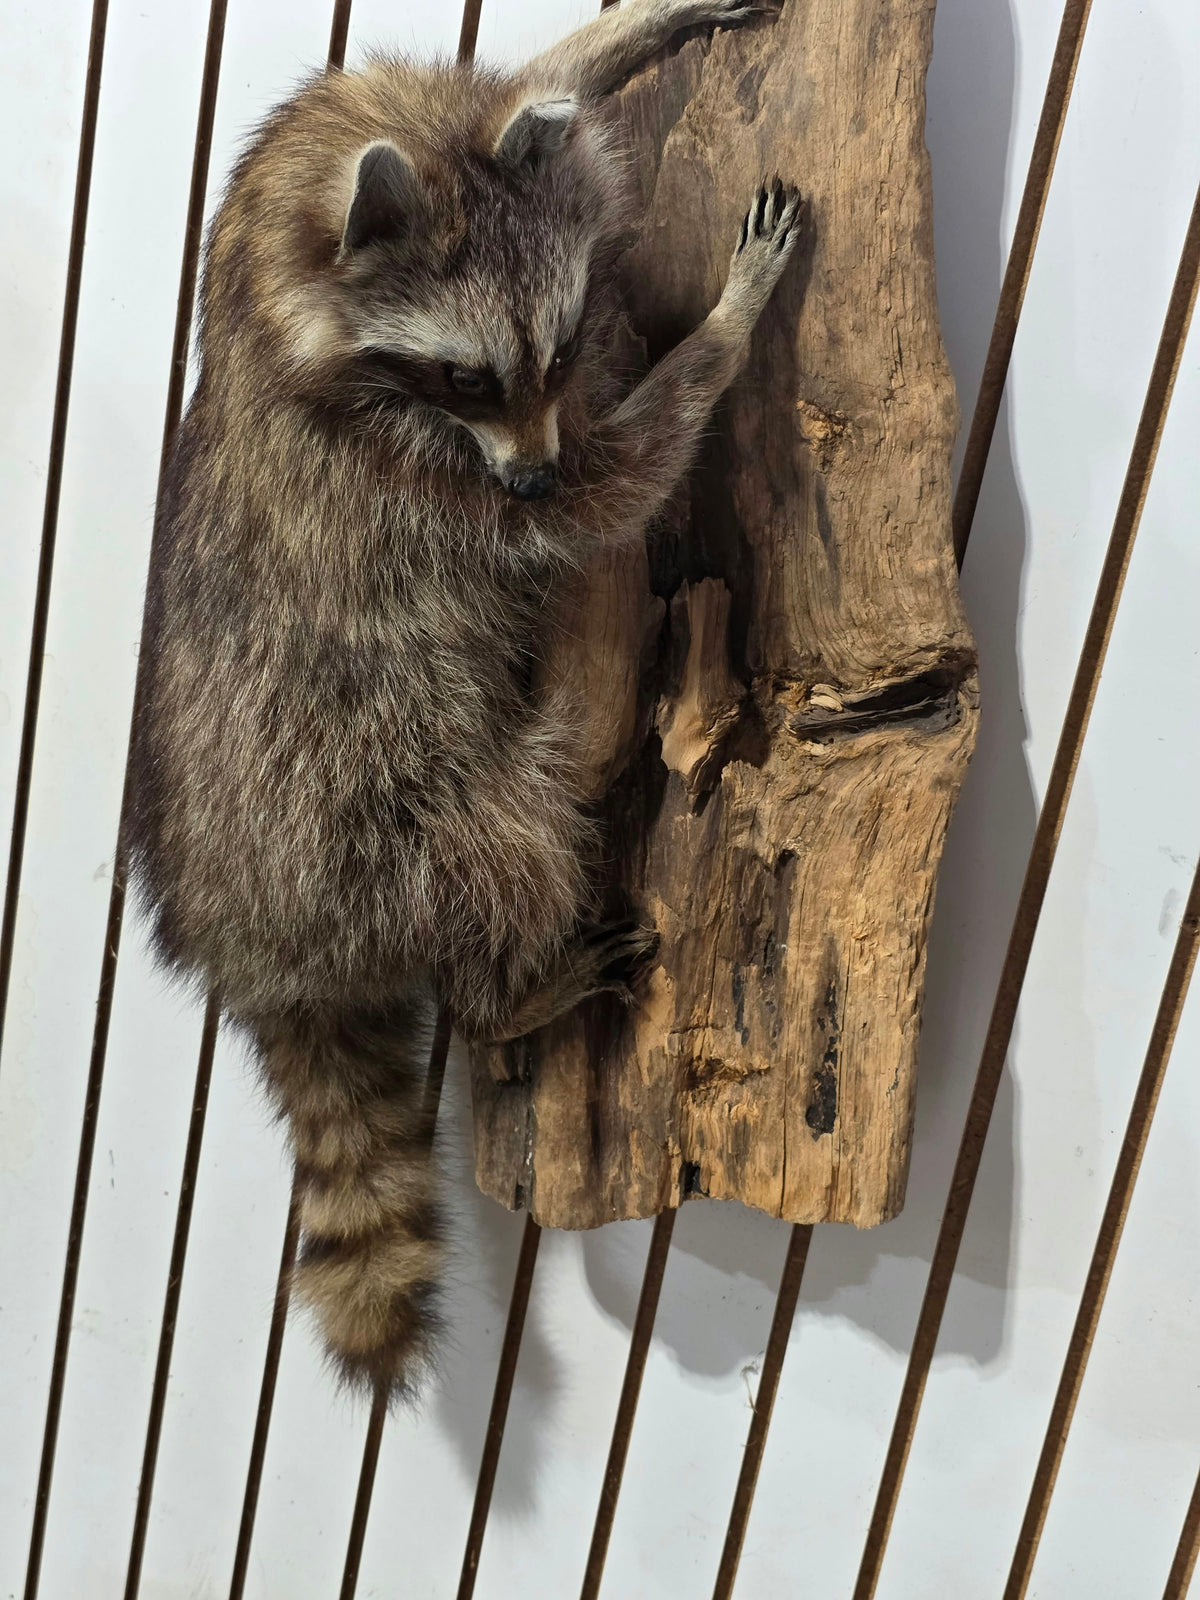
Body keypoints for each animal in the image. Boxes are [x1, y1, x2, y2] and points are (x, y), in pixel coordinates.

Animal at [126, 0, 803, 1399]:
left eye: (556, 346)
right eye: (470, 379)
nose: (531, 474)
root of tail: (253, 951)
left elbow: (539, 78)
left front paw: (629, 32)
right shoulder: (411, 471)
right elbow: (618, 485)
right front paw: (726, 327)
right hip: (388, 815)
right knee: (514, 845)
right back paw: (509, 995)